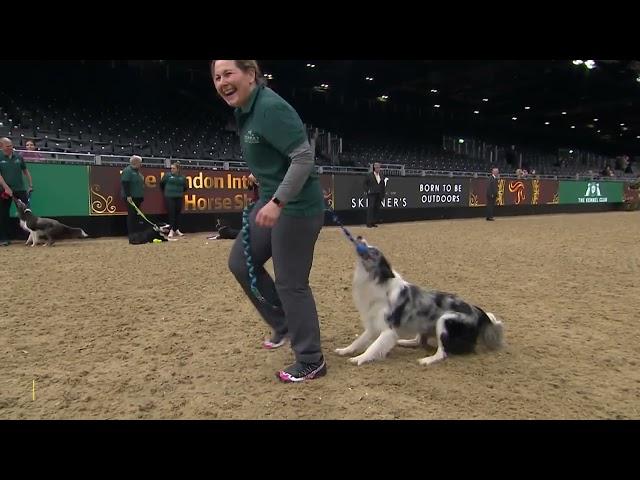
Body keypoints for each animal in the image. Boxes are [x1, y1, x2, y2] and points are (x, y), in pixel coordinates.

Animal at [336, 237, 504, 368]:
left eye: (373, 251)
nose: (359, 237)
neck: (375, 281)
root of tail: (477, 311)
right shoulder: (372, 325)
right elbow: (359, 341)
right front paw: (345, 350)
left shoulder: (387, 330)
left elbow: (372, 347)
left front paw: (359, 358)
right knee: (418, 341)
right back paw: (404, 342)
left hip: (444, 321)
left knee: (442, 353)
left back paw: (427, 360)